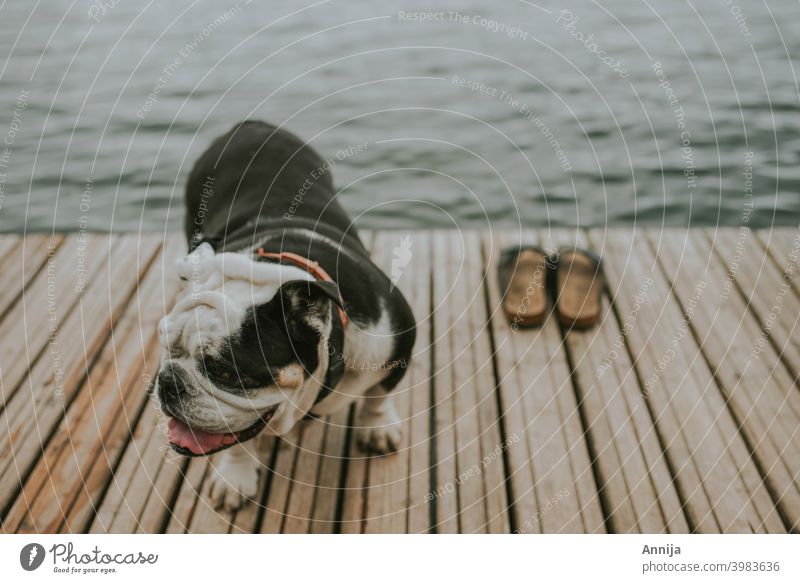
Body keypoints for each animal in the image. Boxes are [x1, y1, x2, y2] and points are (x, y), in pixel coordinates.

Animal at [157, 120, 418, 512]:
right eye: (168, 350)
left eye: (225, 372)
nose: (167, 382)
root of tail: (249, 125)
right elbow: (239, 442)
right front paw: (235, 476)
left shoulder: (397, 343)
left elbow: (379, 394)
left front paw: (377, 427)